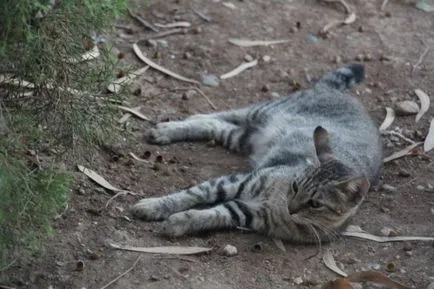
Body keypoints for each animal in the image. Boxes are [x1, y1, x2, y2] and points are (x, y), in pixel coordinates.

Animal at [131, 63, 382, 243]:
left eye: (315, 204)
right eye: (295, 186)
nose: (290, 207)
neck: (277, 202)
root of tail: (333, 91)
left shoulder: (246, 212)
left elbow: (211, 214)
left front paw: (179, 222)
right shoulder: (241, 180)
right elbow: (193, 193)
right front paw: (156, 206)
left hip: (243, 138)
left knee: (218, 126)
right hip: (261, 111)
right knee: (221, 114)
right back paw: (170, 127)